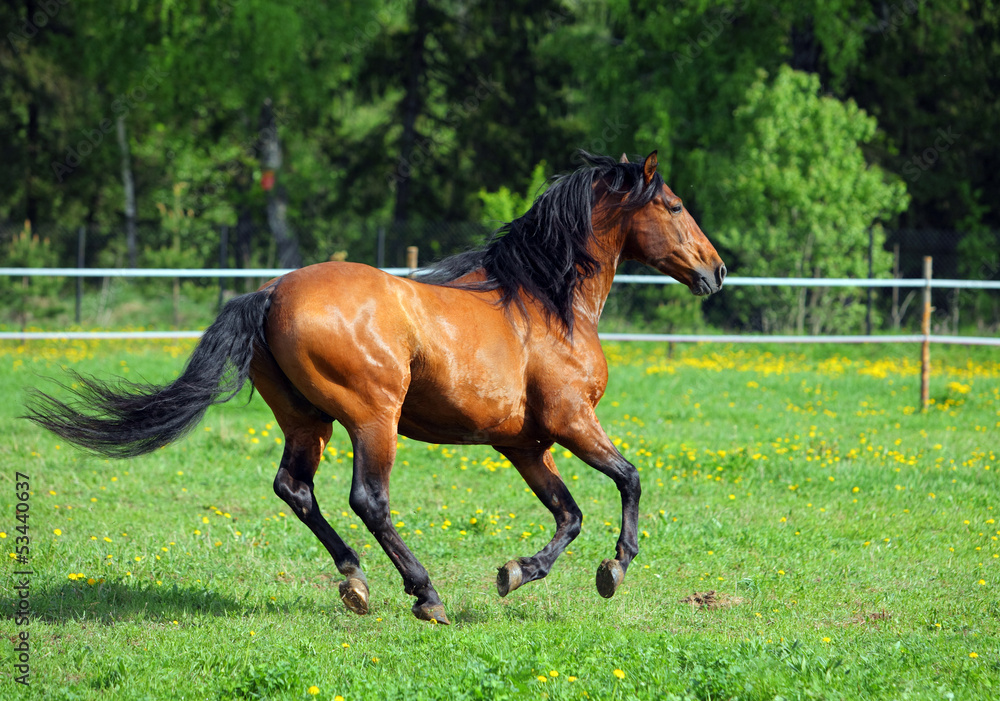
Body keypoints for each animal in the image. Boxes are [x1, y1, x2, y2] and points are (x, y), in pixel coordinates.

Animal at [26, 151, 726, 624]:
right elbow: (629, 479)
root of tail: (271, 293)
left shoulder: (524, 444)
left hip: (307, 419)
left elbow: (569, 514)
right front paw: (615, 569)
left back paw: (355, 581)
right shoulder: (571, 422)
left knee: (295, 488)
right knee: (369, 499)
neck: (546, 303)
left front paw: (516, 573)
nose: (716, 270)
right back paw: (426, 594)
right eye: (672, 206)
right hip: (372, 416)